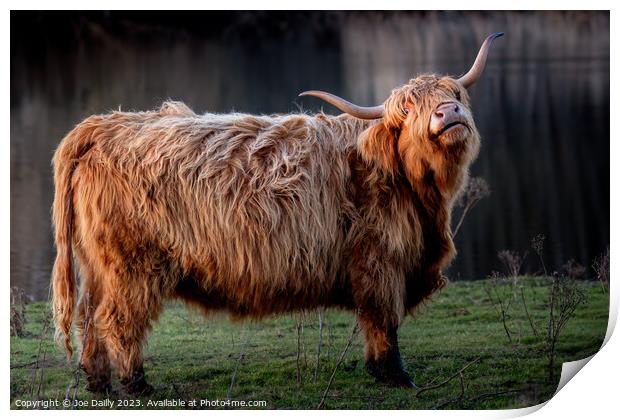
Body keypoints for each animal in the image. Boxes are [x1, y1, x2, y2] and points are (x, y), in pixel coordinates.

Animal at [50, 32, 502, 394]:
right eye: (407, 110)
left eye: (454, 95)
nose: (448, 114)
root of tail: (102, 126)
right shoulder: (380, 261)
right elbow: (382, 321)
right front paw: (395, 376)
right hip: (132, 265)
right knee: (117, 321)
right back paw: (136, 384)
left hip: (98, 265)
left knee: (89, 317)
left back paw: (98, 383)